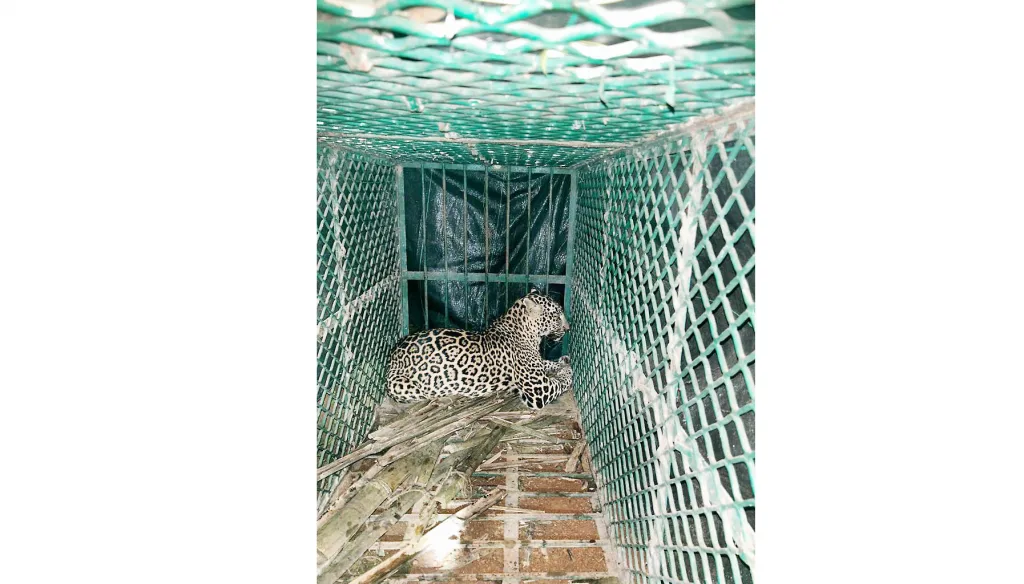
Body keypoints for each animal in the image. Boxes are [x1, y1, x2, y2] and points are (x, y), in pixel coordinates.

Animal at [386, 288, 573, 410]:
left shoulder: (538, 366)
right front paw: (568, 371)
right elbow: (561, 383)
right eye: (556, 316)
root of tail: (392, 356)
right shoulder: (538, 389)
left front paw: (564, 361)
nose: (568, 328)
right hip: (405, 387)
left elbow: (547, 363)